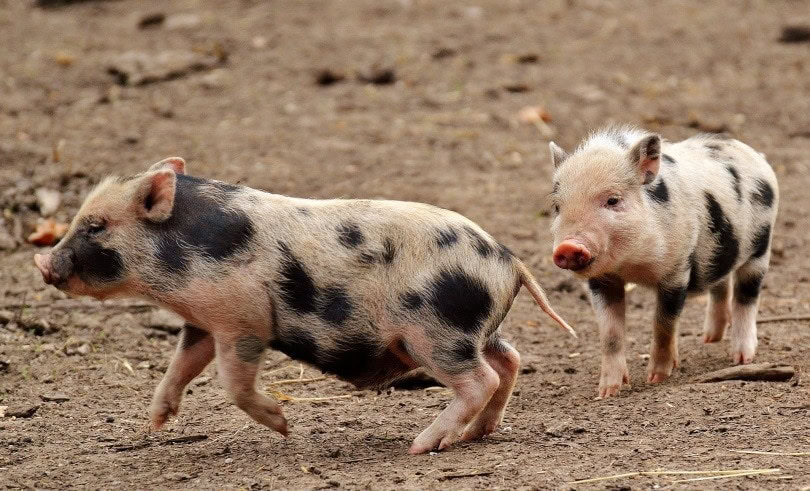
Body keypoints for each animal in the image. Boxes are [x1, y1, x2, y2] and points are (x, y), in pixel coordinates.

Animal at [34, 157, 576, 454]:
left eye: (96, 226)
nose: (42, 261)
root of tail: (508, 260)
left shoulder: (244, 318)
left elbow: (233, 382)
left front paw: (283, 426)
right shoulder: (203, 321)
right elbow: (181, 365)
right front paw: (157, 421)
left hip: (437, 332)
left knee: (480, 379)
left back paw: (421, 445)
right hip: (474, 330)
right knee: (509, 361)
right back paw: (474, 436)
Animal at [547, 127, 778, 397]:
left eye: (613, 200)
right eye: (557, 207)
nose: (568, 246)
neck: (632, 265)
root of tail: (754, 154)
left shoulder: (677, 269)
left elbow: (664, 323)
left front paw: (656, 379)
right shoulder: (602, 280)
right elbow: (610, 334)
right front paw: (607, 392)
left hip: (761, 245)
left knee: (747, 296)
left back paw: (741, 358)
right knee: (721, 283)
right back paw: (709, 339)